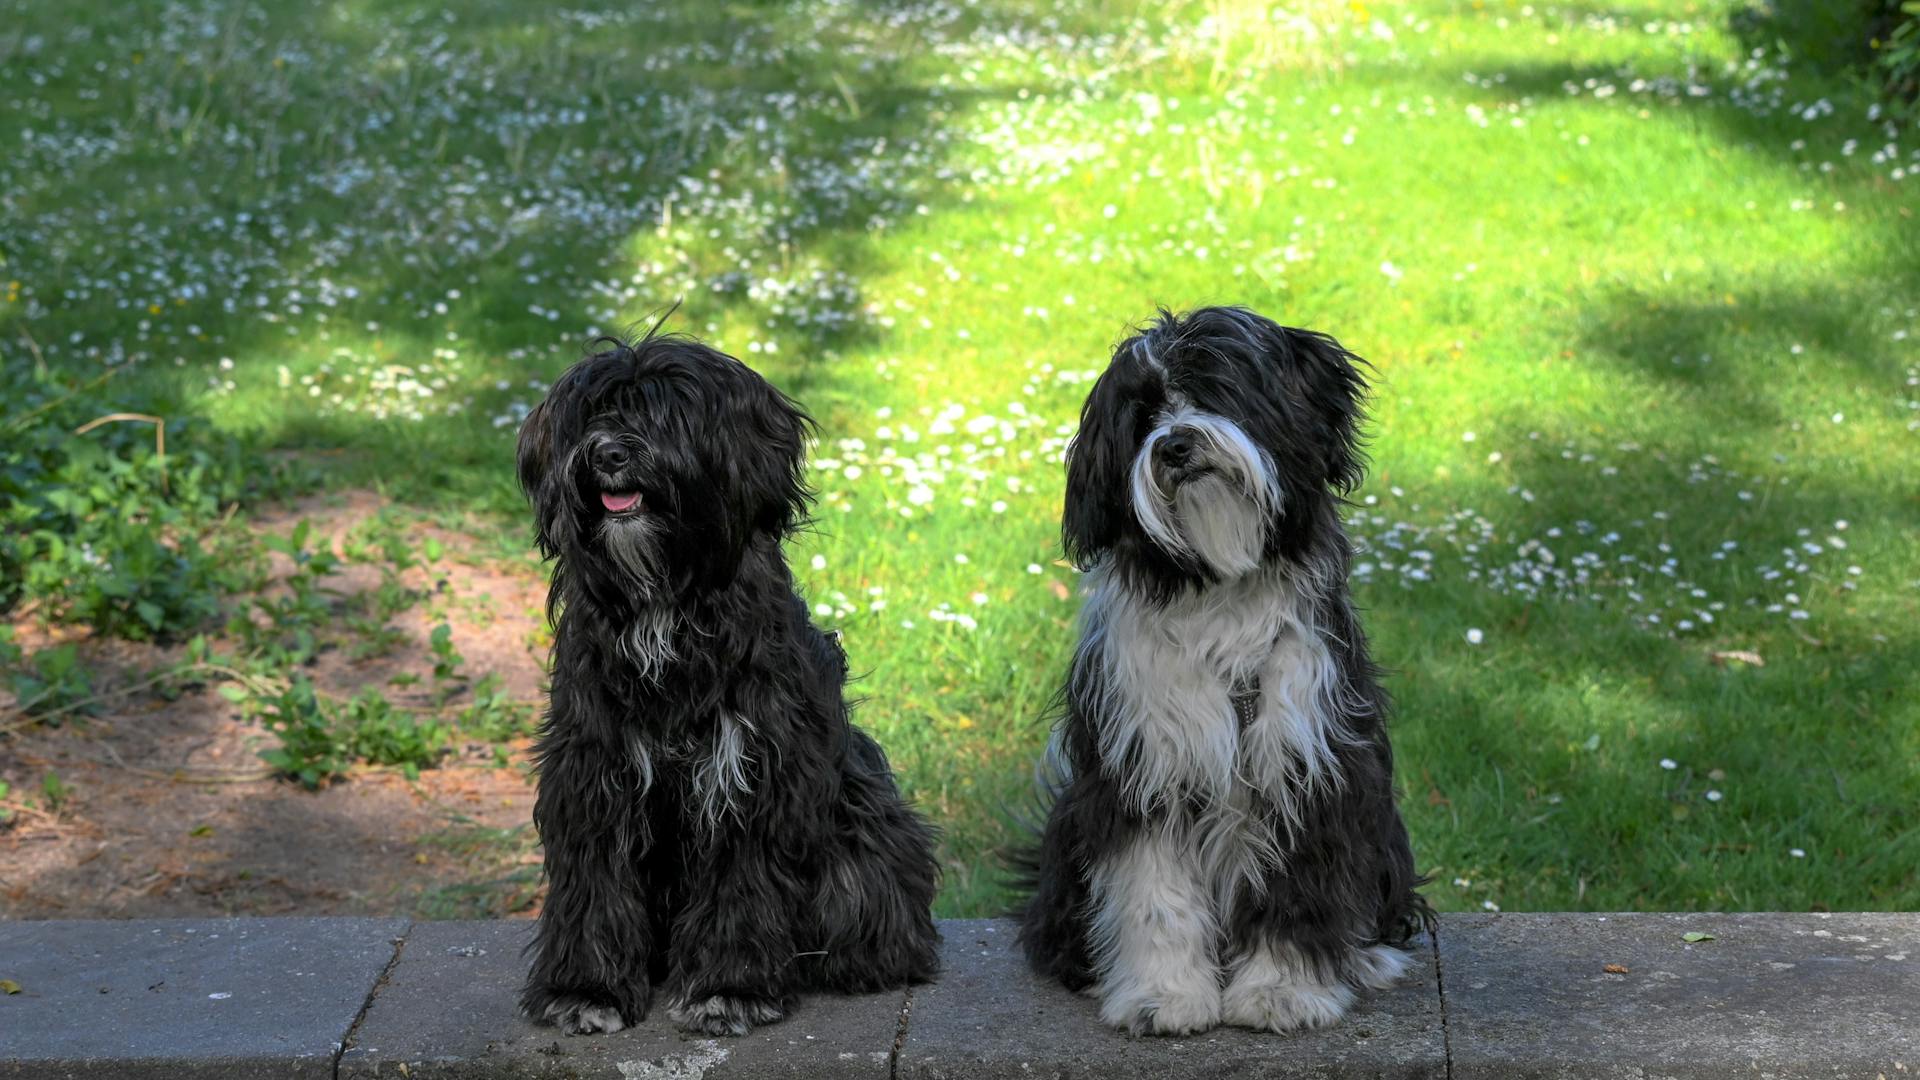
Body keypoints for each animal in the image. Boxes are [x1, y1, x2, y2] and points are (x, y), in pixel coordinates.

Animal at [514, 328, 940, 1037]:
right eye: (595, 413)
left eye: (669, 413)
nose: (608, 453)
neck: (665, 604)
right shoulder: (594, 766)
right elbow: (595, 881)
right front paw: (587, 990)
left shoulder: (749, 767)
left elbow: (743, 880)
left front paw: (730, 988)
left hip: (859, 840)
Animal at [1021, 305, 1428, 1037]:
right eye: (1142, 416)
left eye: (1216, 388)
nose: (1176, 446)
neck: (1219, 593)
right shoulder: (1142, 765)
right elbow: (1152, 892)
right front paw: (1162, 996)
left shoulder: (1307, 754)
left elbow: (1299, 885)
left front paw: (1281, 992)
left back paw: (1366, 955)